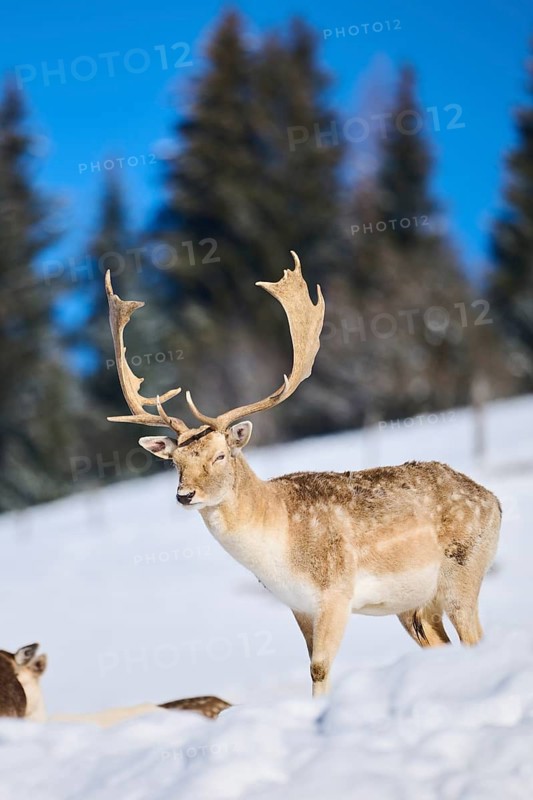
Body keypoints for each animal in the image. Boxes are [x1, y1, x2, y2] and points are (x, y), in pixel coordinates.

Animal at [105, 252, 502, 697]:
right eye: (175, 462)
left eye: (221, 455)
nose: (184, 495)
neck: (279, 549)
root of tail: (493, 500)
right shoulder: (297, 605)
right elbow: (310, 665)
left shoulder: (336, 592)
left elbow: (320, 667)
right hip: (415, 606)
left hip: (463, 571)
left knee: (475, 635)